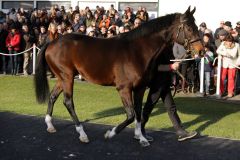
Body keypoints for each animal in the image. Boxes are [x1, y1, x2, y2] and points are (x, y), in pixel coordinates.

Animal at [33, 6, 202, 147]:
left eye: (196, 26)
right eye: (189, 27)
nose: (201, 50)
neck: (137, 51)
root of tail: (51, 43)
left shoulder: (140, 88)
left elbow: (138, 113)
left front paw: (141, 138)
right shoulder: (124, 88)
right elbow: (131, 115)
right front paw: (110, 133)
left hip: (62, 78)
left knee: (53, 96)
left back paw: (50, 125)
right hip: (67, 77)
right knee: (68, 102)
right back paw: (82, 134)